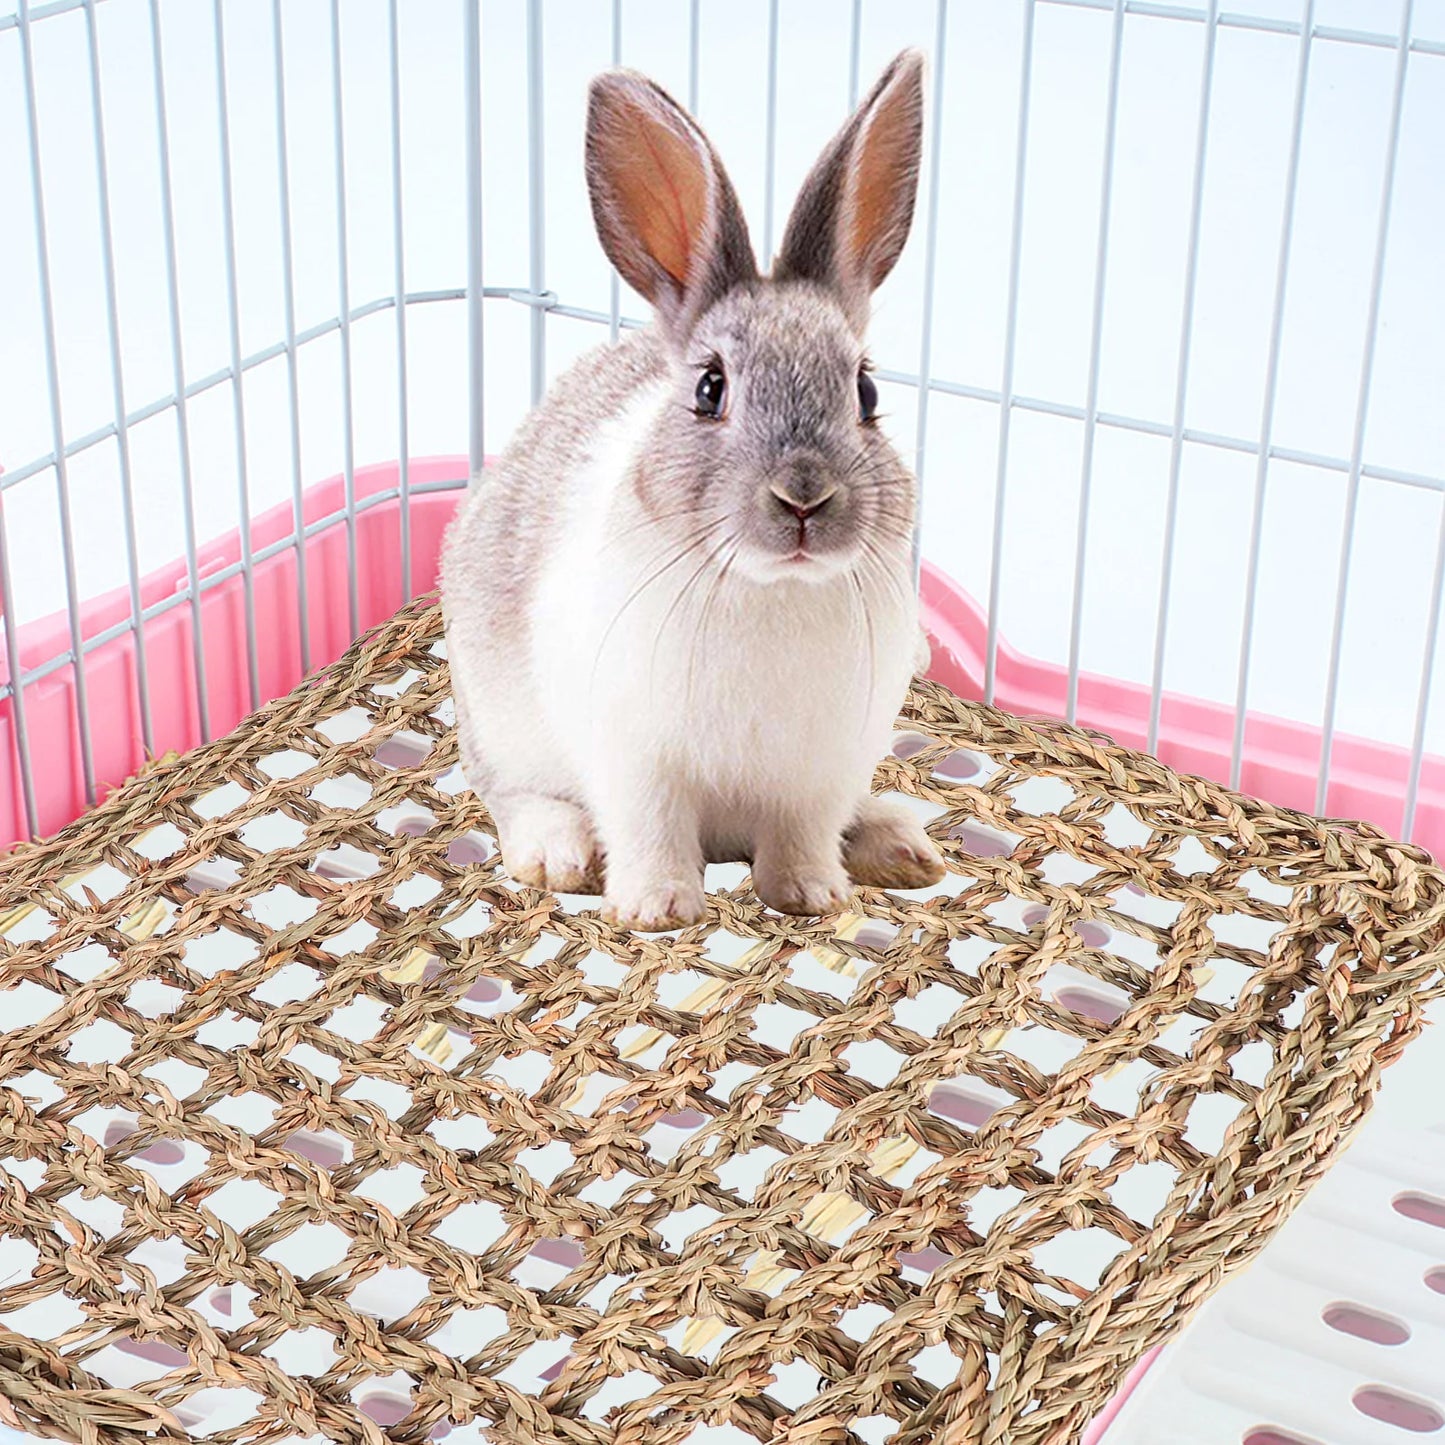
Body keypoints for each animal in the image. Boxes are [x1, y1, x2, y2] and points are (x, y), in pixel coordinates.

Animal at [440, 49, 945, 932]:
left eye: (866, 392)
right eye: (710, 389)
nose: (803, 498)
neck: (770, 588)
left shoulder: (818, 772)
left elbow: (801, 836)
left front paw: (810, 895)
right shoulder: (637, 763)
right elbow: (651, 830)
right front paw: (657, 909)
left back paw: (896, 845)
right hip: (499, 724)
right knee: (508, 792)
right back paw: (556, 851)